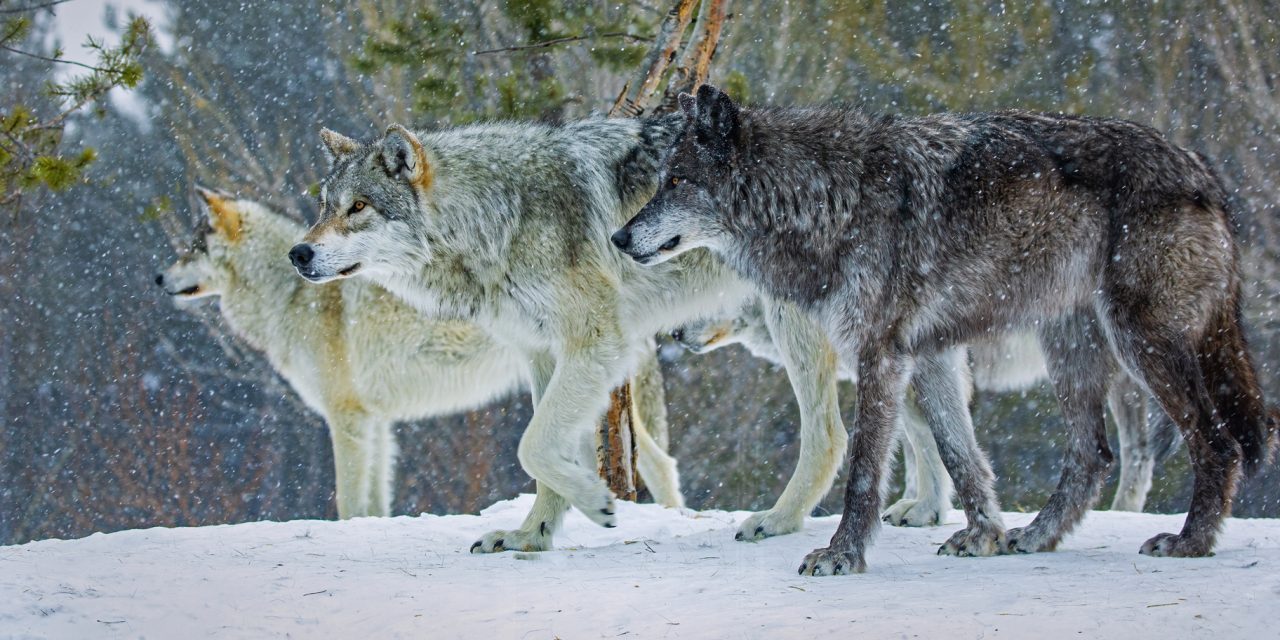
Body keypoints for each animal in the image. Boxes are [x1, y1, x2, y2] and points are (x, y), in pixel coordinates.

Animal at [155, 188, 685, 518]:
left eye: (192, 247)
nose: (158, 278)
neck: (290, 296)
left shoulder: (347, 419)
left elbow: (348, 501)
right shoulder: (376, 423)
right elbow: (373, 505)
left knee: (660, 464)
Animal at [286, 115, 876, 553]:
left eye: (358, 207)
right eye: (325, 206)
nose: (299, 253)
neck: (496, 218)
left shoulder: (597, 341)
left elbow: (532, 445)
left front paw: (596, 501)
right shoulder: (544, 355)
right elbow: (544, 454)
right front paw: (531, 536)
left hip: (793, 324)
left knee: (830, 435)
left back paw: (778, 521)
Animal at [671, 301, 1180, 524]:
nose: (673, 334)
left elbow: (933, 444)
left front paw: (929, 510)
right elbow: (920, 447)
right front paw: (920, 505)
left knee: (1140, 453)